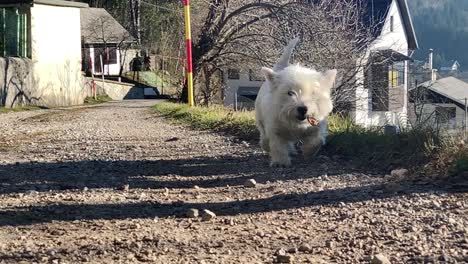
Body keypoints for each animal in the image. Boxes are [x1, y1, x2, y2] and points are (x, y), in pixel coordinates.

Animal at [256, 38, 336, 167]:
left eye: (313, 93)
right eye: (290, 93)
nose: (302, 108)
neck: (296, 124)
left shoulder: (317, 125)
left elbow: (317, 140)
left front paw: (308, 151)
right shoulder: (275, 128)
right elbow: (278, 146)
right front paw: (280, 162)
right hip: (260, 117)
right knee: (264, 135)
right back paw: (266, 145)